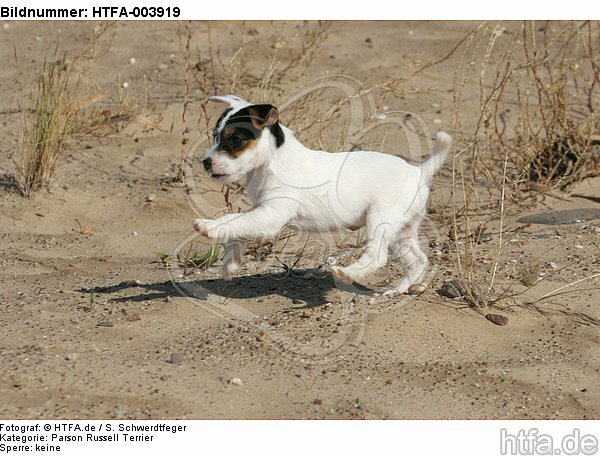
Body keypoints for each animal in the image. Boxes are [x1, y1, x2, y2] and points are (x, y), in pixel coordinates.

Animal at [195, 96, 452, 296]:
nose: (206, 162)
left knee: (377, 255)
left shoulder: (271, 215)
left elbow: (235, 220)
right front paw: (230, 263)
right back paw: (396, 290)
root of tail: (419, 171)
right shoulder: (263, 214)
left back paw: (346, 272)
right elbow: (238, 227)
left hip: (381, 218)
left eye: (235, 140)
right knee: (417, 260)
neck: (273, 161)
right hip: (402, 230)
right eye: (214, 135)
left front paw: (209, 226)